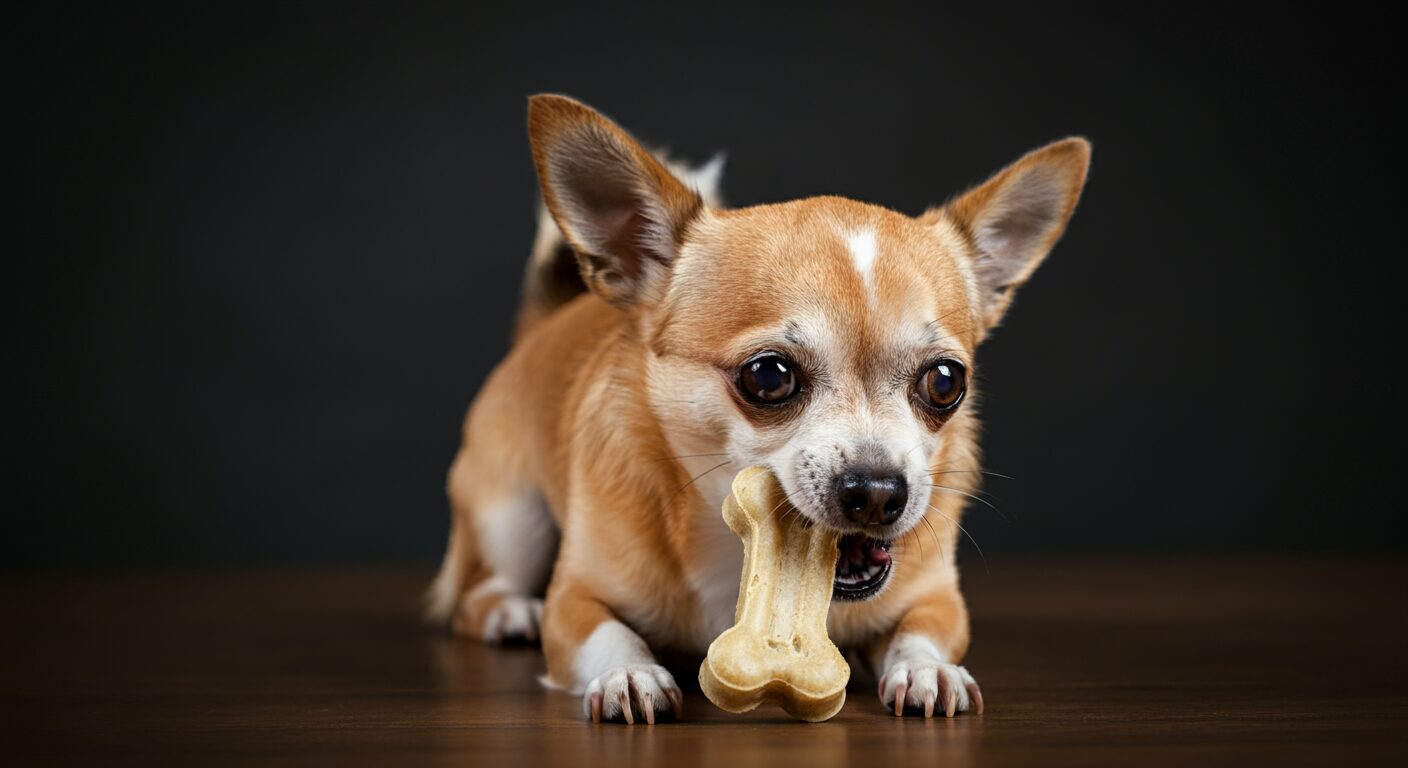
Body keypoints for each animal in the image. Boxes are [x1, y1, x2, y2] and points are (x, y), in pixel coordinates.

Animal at [425, 93, 1086, 721]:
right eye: (768, 376)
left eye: (946, 382)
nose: (878, 491)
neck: (738, 554)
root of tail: (544, 324)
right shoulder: (575, 601)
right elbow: (607, 634)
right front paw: (628, 675)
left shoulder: (937, 600)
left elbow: (921, 633)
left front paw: (929, 671)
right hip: (512, 520)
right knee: (474, 595)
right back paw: (511, 613)